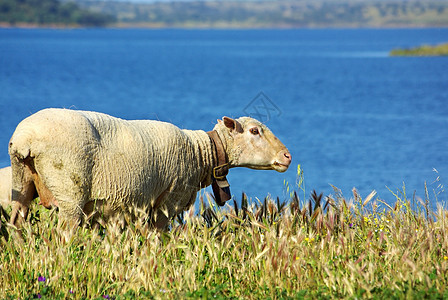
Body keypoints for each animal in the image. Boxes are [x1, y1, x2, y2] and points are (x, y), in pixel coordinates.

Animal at [8, 109, 292, 229]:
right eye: (254, 131)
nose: (287, 156)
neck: (201, 153)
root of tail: (24, 137)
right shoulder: (168, 200)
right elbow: (159, 236)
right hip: (70, 193)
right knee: (64, 233)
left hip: (22, 184)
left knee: (16, 223)